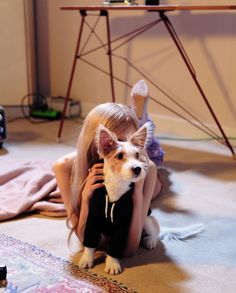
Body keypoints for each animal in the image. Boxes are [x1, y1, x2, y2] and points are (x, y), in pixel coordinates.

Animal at [77, 121, 203, 274]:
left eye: (137, 155)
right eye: (119, 156)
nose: (137, 168)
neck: (117, 187)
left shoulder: (123, 227)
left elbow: (115, 247)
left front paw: (112, 263)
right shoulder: (92, 220)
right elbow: (89, 243)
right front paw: (86, 259)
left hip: (148, 220)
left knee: (155, 232)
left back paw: (150, 241)